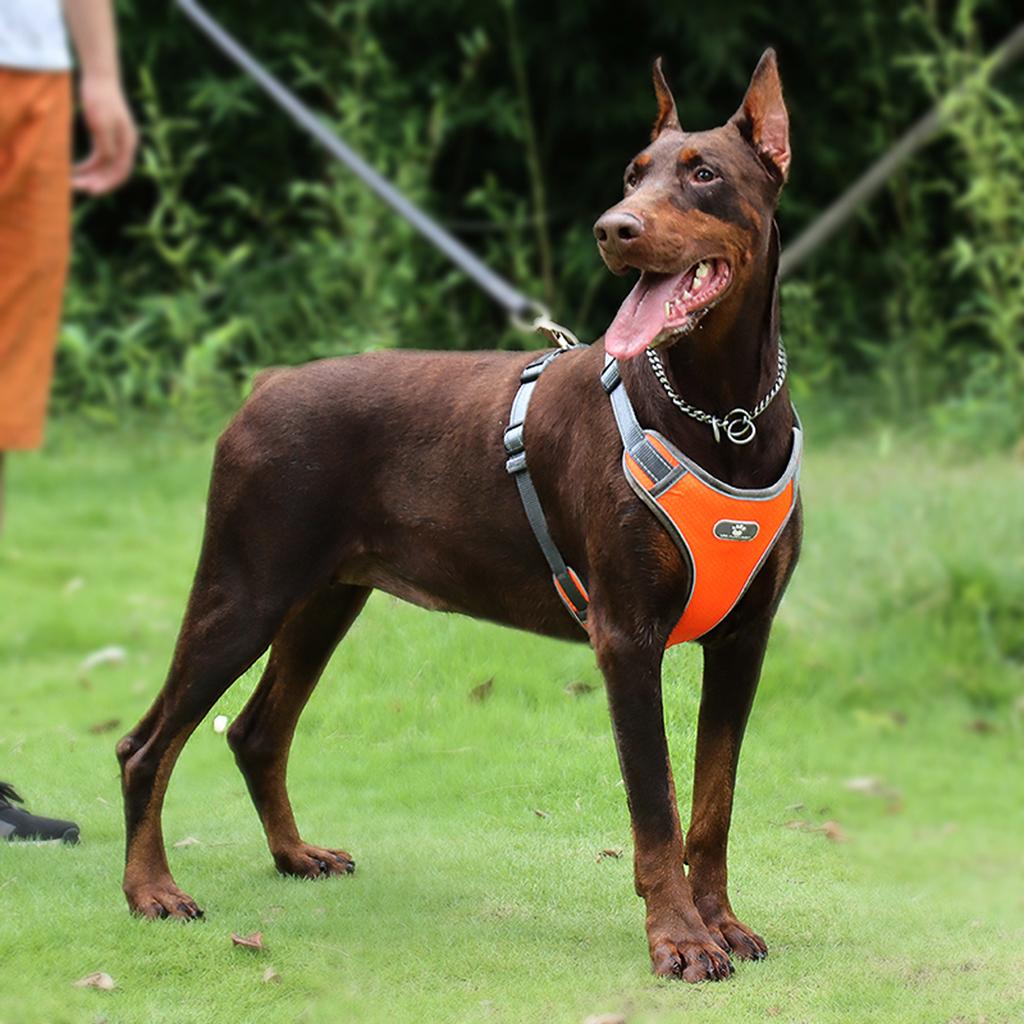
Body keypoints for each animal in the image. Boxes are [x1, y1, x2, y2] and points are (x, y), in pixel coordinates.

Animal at [117, 49, 798, 983]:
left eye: (703, 174)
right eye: (633, 174)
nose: (612, 227)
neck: (723, 415)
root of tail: (268, 384)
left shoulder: (744, 637)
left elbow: (713, 803)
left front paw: (722, 922)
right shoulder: (627, 636)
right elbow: (655, 808)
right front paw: (682, 941)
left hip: (324, 597)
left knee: (255, 732)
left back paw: (295, 855)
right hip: (244, 587)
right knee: (147, 746)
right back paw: (151, 890)